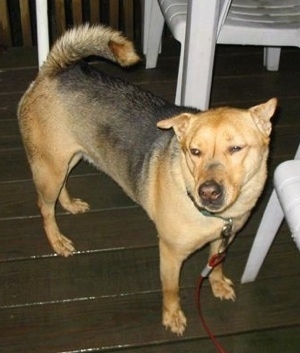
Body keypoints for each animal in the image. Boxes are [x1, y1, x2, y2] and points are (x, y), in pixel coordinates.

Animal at [18, 24, 276, 332]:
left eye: (236, 148)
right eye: (195, 151)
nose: (208, 192)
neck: (214, 217)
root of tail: (52, 70)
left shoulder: (225, 238)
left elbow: (216, 265)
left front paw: (217, 285)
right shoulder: (171, 253)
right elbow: (171, 289)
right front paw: (172, 317)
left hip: (70, 157)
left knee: (62, 189)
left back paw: (70, 205)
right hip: (50, 168)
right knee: (45, 207)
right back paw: (57, 241)